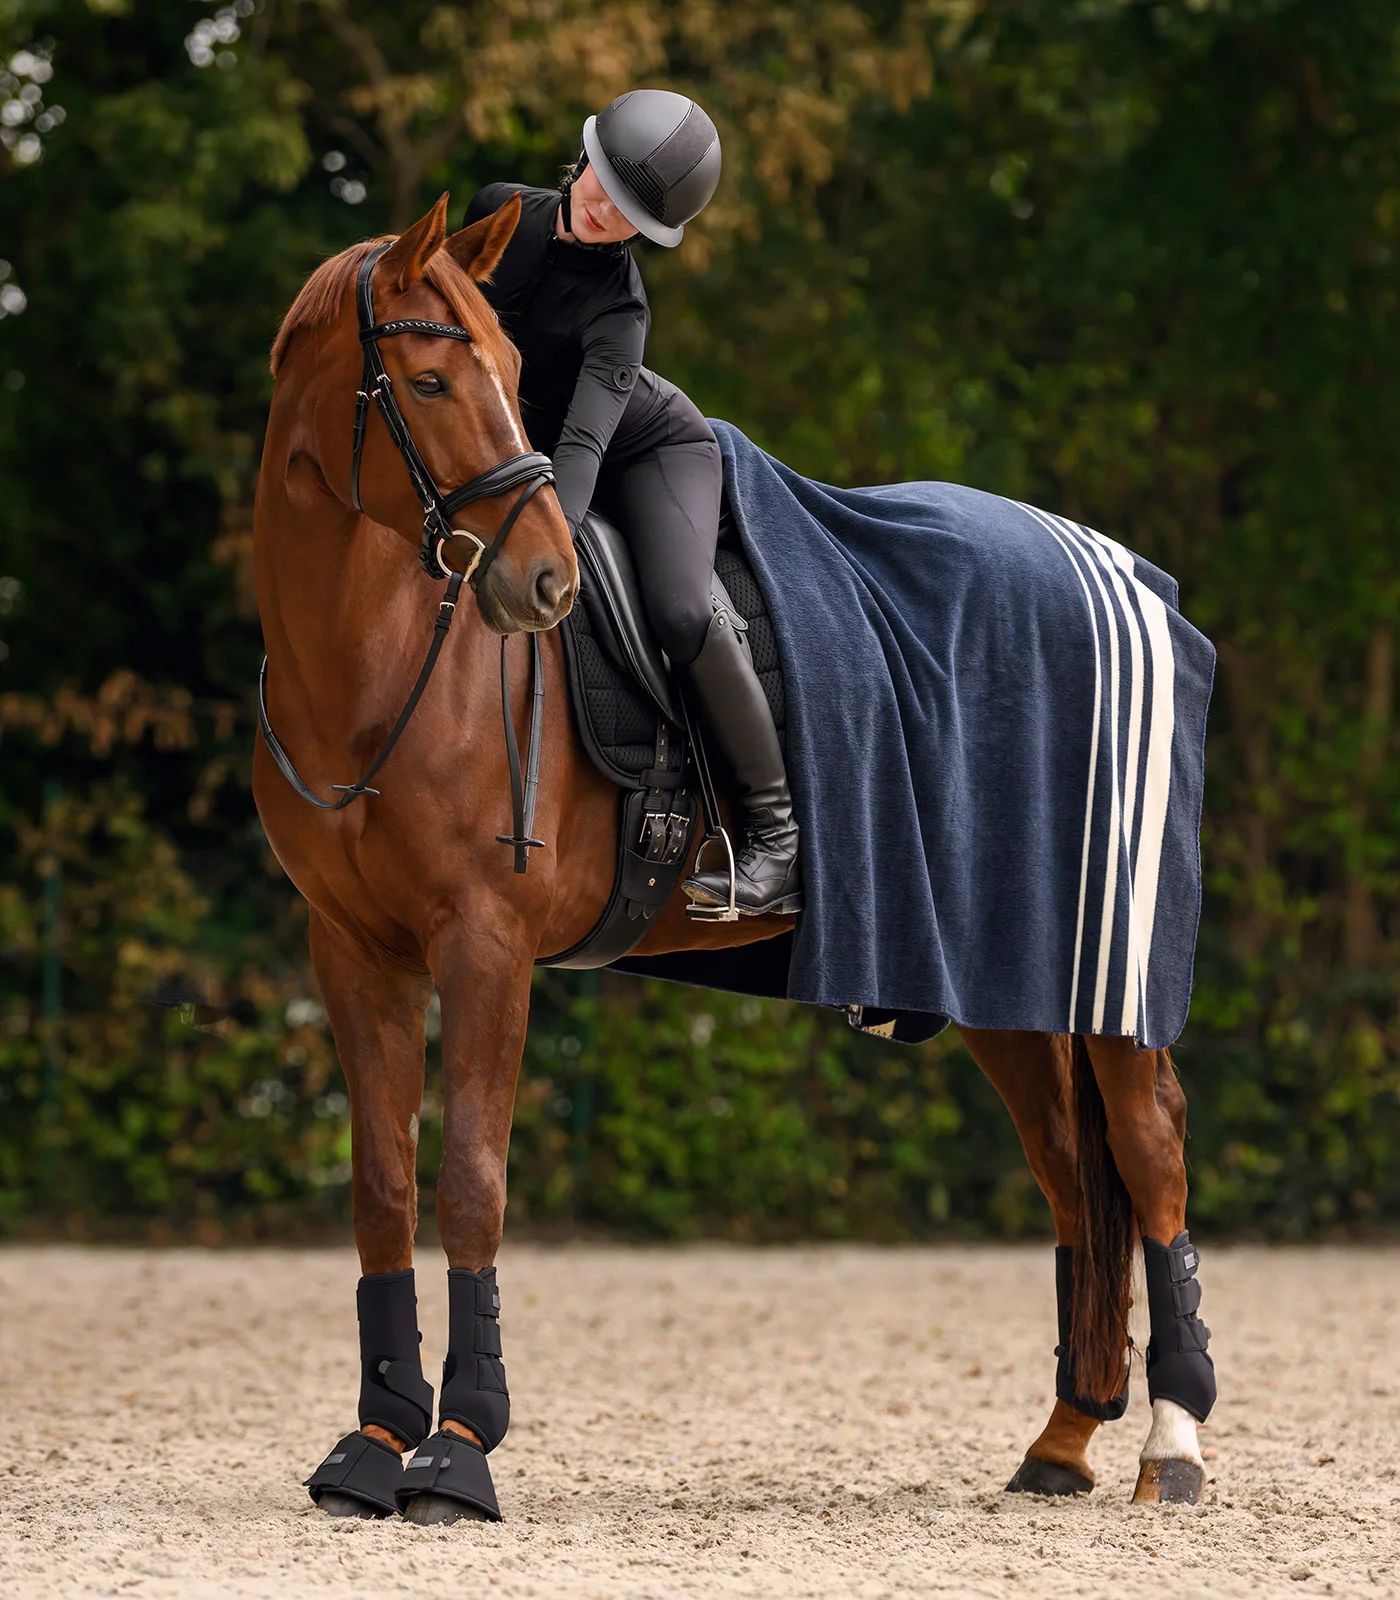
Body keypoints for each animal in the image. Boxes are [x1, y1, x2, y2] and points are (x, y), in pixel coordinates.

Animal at [252, 192, 1214, 1525]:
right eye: (433, 377)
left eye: (504, 368)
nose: (542, 582)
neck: (387, 662)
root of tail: (1131, 579)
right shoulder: (353, 949)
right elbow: (383, 1189)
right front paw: (376, 1439)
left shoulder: (482, 945)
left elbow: (470, 1181)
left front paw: (460, 1449)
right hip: (1005, 983)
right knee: (1073, 1175)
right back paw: (1062, 1439)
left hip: (1104, 979)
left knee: (1148, 1149)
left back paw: (1170, 1440)